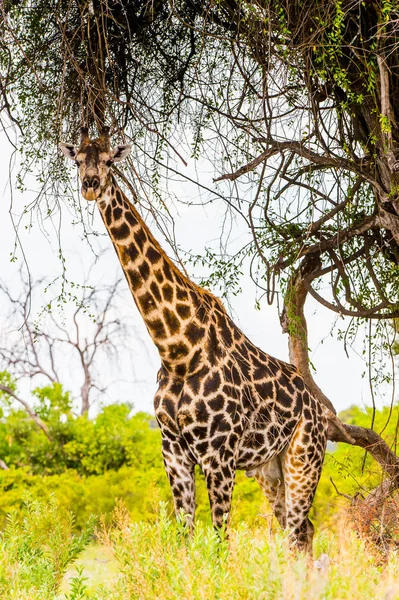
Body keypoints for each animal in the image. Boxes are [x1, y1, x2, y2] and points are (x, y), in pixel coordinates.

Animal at [59, 127, 328, 552]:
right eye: (78, 159)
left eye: (109, 160)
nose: (90, 185)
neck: (178, 350)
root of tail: (319, 410)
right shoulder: (173, 452)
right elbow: (184, 539)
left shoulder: (219, 455)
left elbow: (219, 541)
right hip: (268, 468)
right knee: (300, 530)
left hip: (304, 457)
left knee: (298, 531)